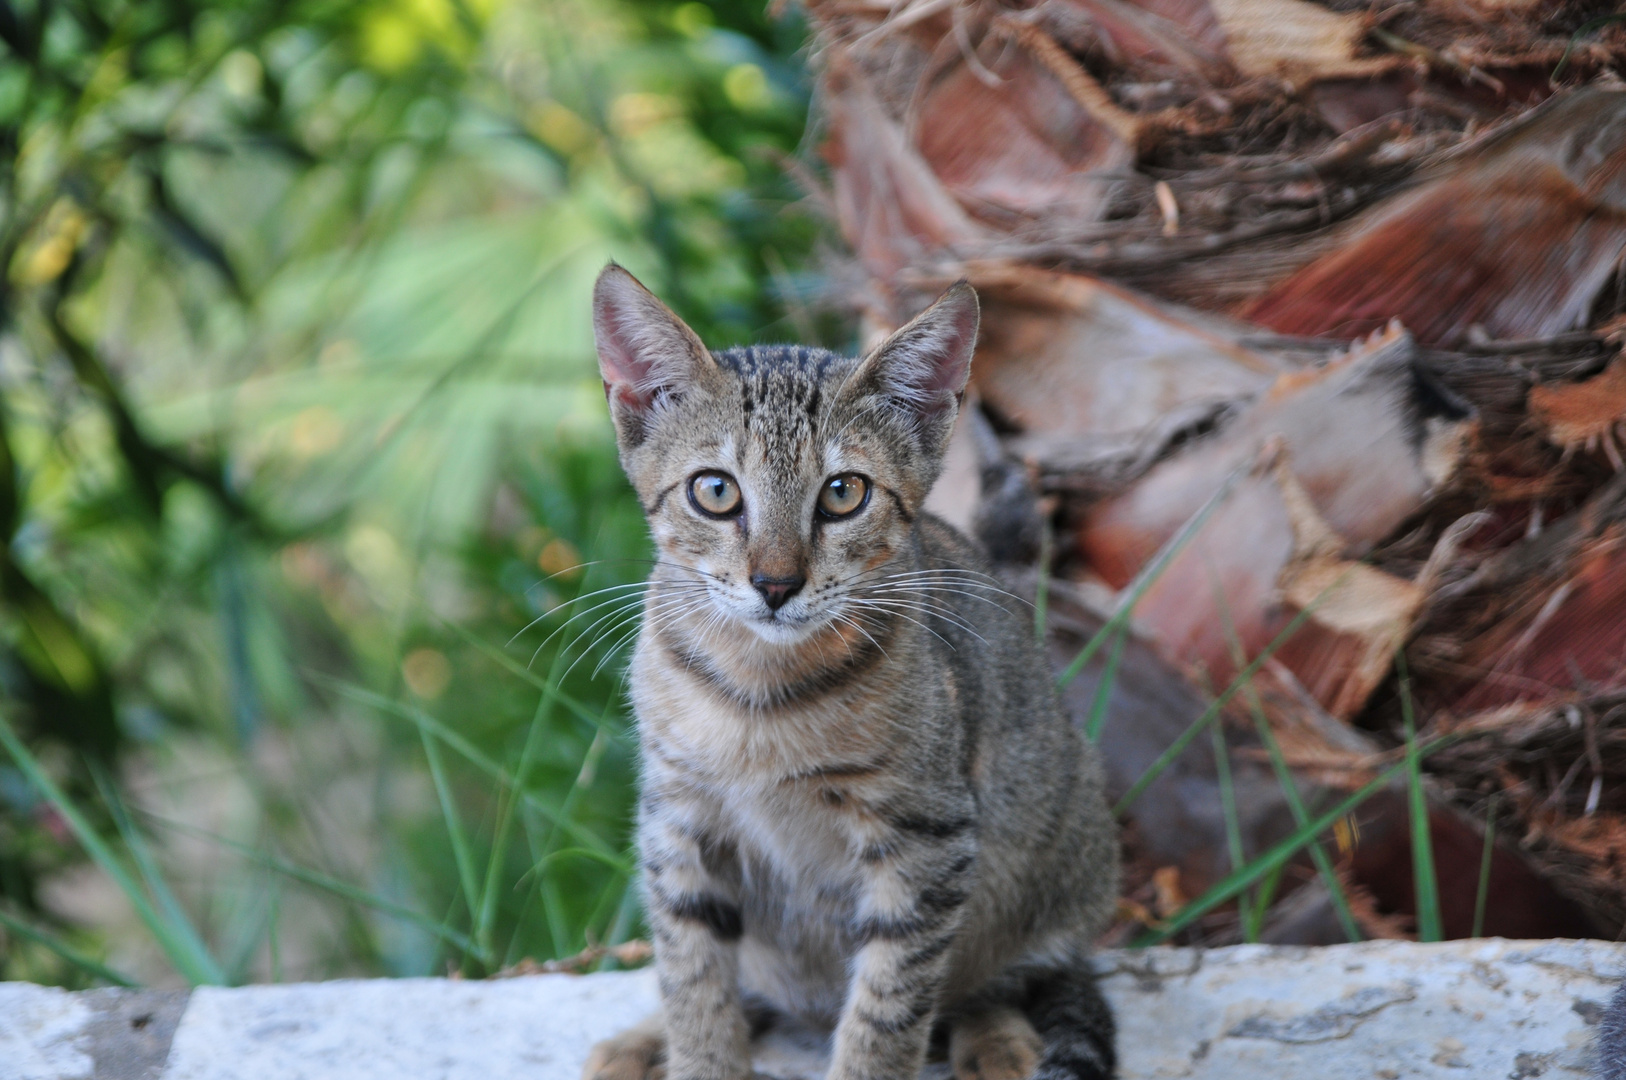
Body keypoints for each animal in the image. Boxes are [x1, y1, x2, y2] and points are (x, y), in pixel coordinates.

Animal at [582, 263, 1118, 1080]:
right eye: (715, 490)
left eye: (843, 493)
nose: (775, 584)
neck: (758, 696)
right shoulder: (678, 821)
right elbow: (693, 979)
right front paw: (694, 1051)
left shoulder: (927, 837)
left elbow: (888, 1004)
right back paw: (644, 1042)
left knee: (991, 982)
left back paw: (998, 1043)